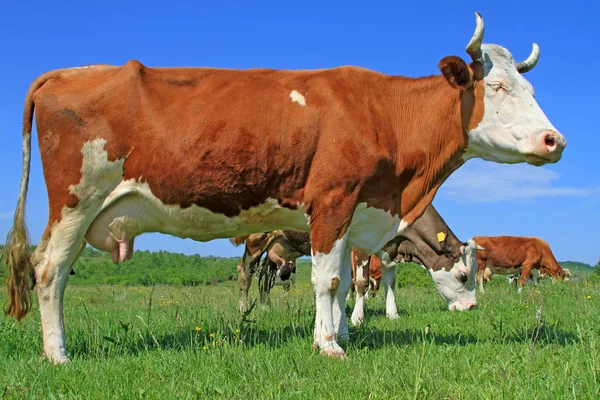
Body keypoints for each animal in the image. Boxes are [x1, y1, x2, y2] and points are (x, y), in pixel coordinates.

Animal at [346, 203, 482, 324]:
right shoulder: (361, 245)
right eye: (463, 276)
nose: (472, 306)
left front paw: (393, 315)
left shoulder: (390, 251)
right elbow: (362, 282)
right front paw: (357, 318)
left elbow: (390, 283)